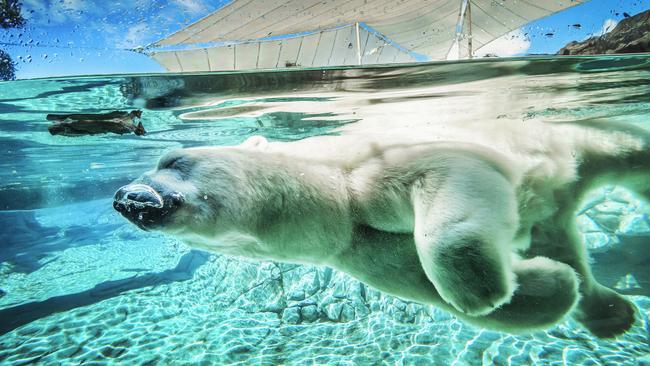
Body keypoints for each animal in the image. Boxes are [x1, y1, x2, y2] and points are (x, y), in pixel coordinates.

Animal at [111, 119, 644, 338]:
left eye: (173, 160)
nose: (126, 199)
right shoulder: (360, 248)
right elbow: (419, 279)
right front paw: (547, 285)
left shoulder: (370, 167)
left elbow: (454, 169)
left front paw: (484, 290)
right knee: (564, 237)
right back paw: (608, 310)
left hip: (562, 139)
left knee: (625, 151)